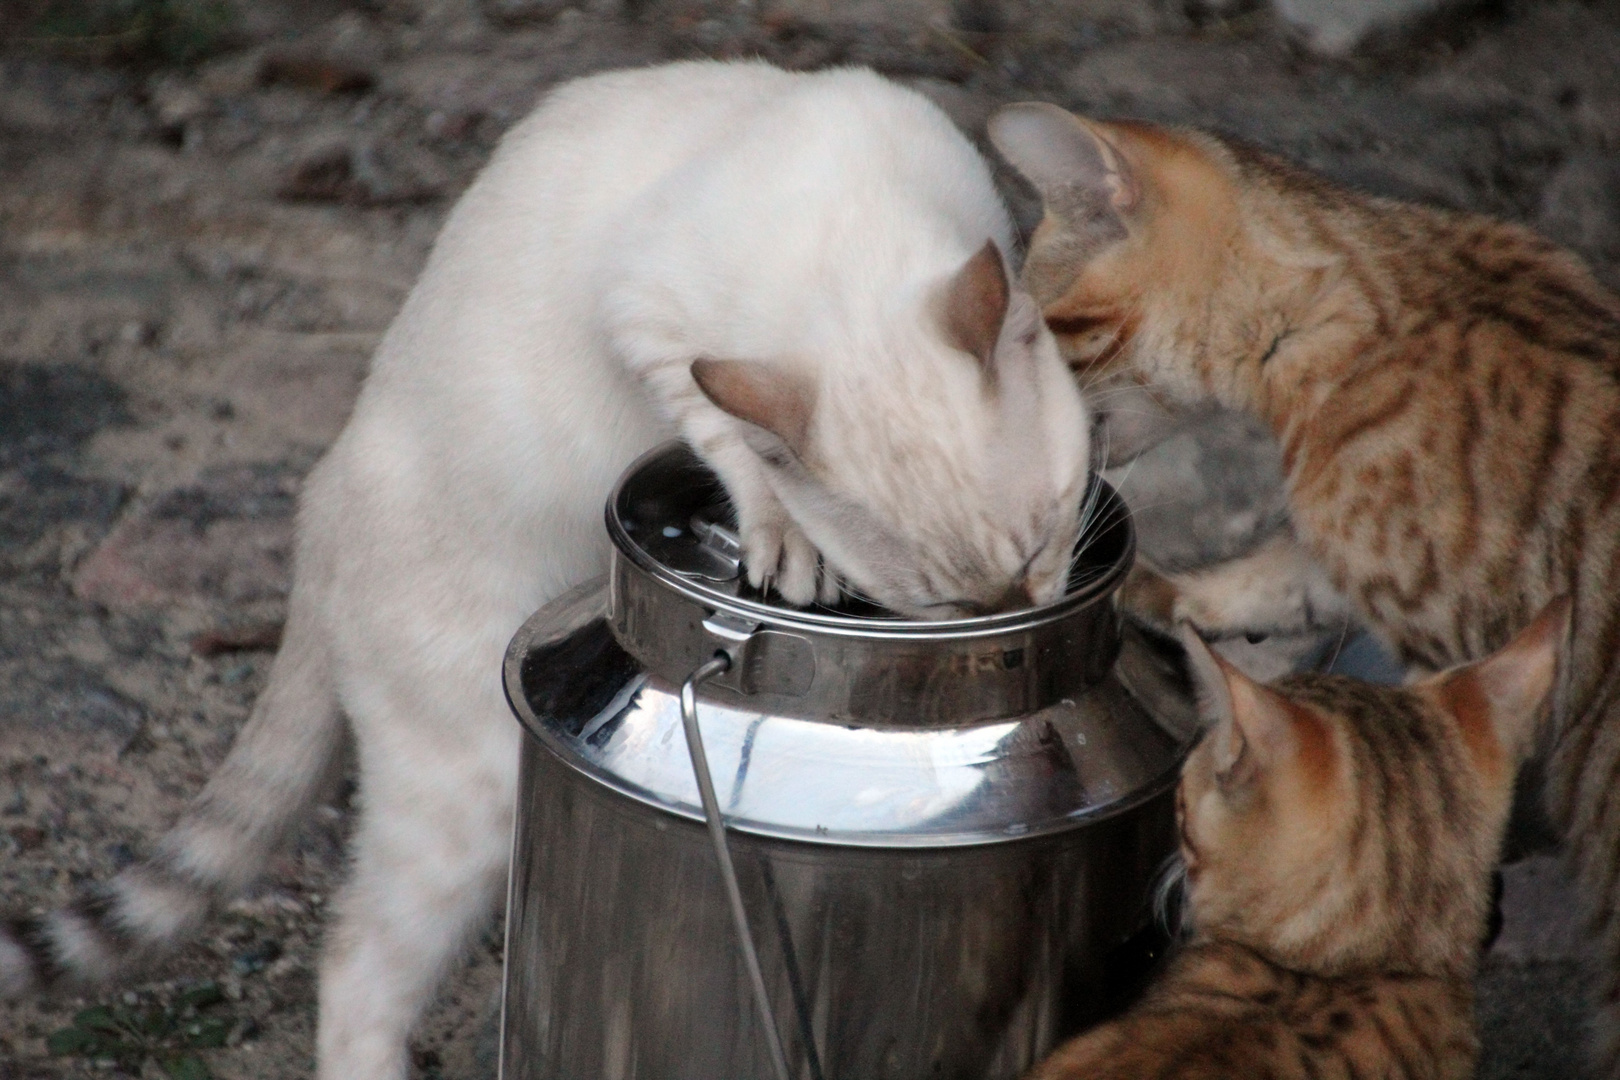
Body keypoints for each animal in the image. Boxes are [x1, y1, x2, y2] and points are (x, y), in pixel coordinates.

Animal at [0, 61, 1095, 1080]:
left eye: (1042, 542)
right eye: (946, 602)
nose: (1012, 616)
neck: (844, 247)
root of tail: (314, 516)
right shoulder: (645, 320)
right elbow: (730, 440)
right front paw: (781, 533)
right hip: (471, 797)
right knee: (353, 962)